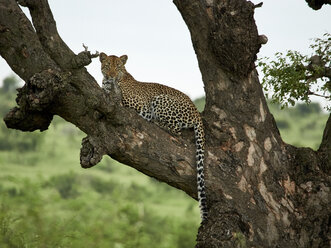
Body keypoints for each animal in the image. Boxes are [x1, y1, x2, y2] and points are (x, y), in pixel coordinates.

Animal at [99, 52, 208, 221]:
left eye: (117, 67)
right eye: (107, 66)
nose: (111, 76)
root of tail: (197, 112)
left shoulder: (135, 103)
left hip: (161, 99)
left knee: (175, 129)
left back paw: (155, 122)